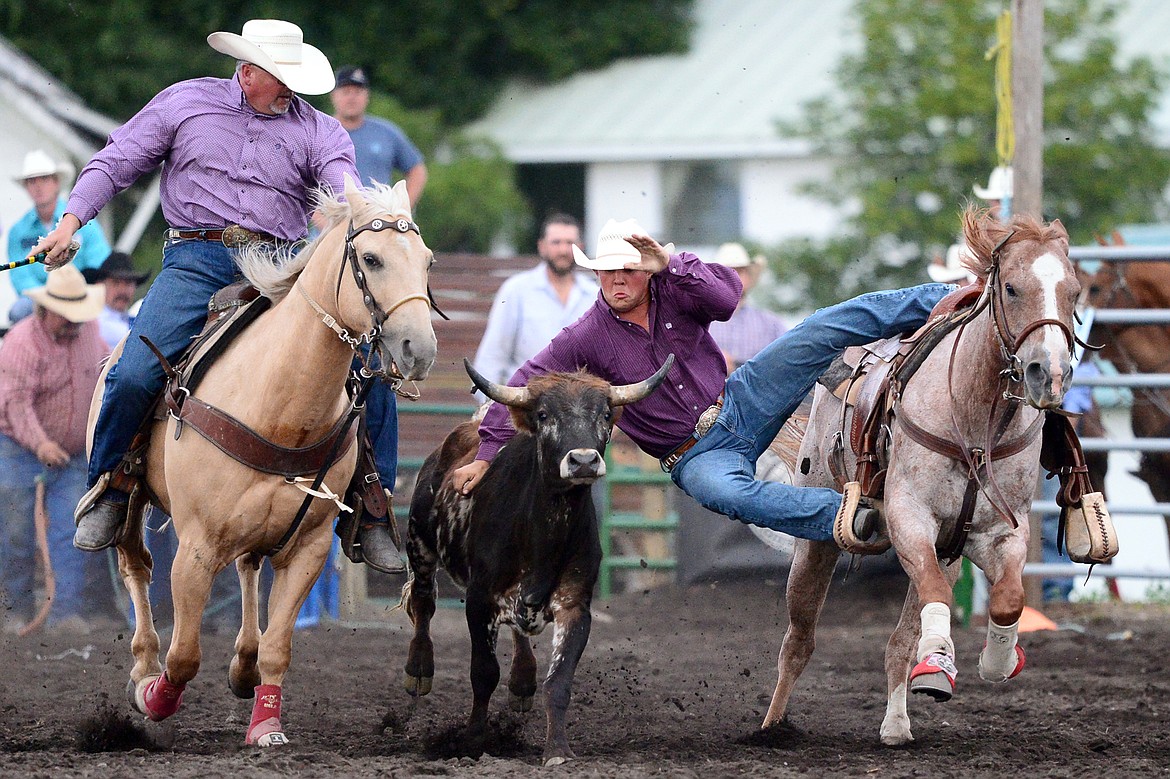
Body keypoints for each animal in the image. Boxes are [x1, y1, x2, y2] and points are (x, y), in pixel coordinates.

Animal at [86, 178, 435, 743]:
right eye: (372, 258)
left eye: (426, 261)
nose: (418, 349)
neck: (282, 403)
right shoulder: (196, 549)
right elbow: (184, 654)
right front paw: (155, 697)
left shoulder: (309, 548)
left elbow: (279, 646)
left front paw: (266, 723)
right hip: (133, 492)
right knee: (135, 564)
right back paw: (142, 666)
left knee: (248, 568)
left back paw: (243, 664)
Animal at [762, 209, 1081, 743]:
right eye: (1011, 288)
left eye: (1075, 291)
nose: (1049, 373)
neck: (974, 421)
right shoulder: (911, 520)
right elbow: (934, 595)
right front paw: (938, 662)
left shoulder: (997, 533)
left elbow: (1007, 600)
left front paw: (995, 661)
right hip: (818, 542)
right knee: (798, 640)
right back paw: (771, 725)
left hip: (947, 550)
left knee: (898, 640)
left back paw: (897, 722)